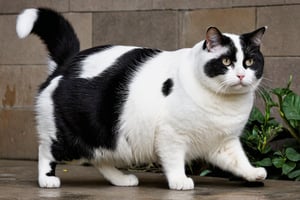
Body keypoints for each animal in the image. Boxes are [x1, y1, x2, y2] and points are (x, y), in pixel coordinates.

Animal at [17, 7, 268, 189]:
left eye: (249, 62)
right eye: (226, 62)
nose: (241, 75)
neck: (223, 103)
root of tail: (67, 62)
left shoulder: (223, 142)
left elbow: (238, 159)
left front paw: (252, 173)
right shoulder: (171, 136)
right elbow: (174, 160)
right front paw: (179, 181)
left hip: (107, 137)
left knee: (99, 157)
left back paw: (121, 180)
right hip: (69, 137)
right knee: (46, 149)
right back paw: (47, 179)